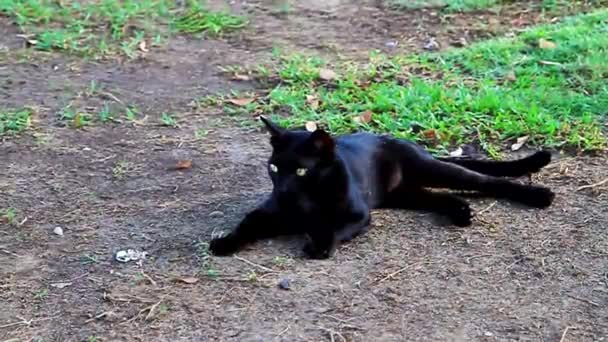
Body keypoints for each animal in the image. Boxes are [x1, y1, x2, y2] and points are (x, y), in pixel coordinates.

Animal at [210, 117, 556, 260]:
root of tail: (406, 143)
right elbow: (247, 223)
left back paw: (540, 196)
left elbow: (331, 227)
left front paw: (318, 246)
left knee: (485, 181)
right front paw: (224, 242)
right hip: (406, 195)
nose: (282, 189)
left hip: (433, 171)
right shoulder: (268, 213)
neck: (306, 202)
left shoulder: (357, 215)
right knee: (441, 198)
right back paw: (461, 213)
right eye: (273, 169)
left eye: (300, 171)